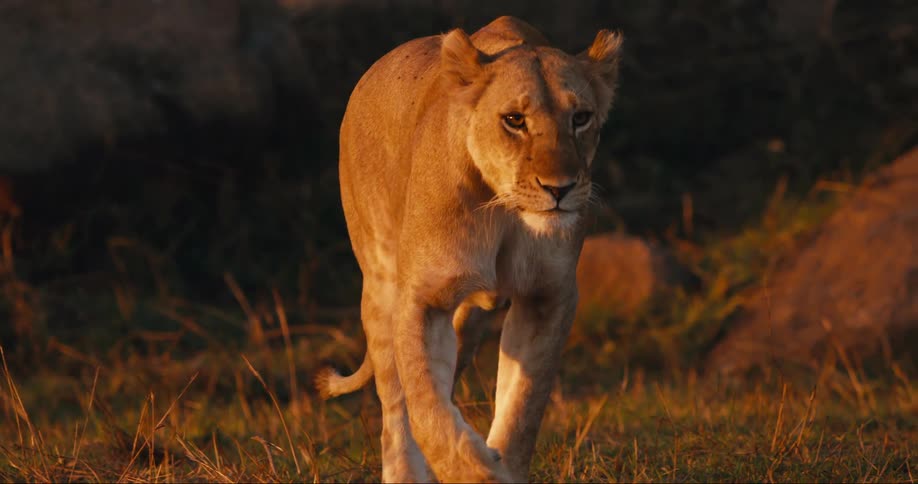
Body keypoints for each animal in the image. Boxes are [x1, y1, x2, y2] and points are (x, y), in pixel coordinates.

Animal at [315, 16, 623, 483]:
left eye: (581, 118)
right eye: (514, 120)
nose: (561, 188)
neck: (506, 212)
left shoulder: (548, 296)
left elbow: (522, 408)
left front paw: (501, 463)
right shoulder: (423, 298)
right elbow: (426, 408)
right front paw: (474, 470)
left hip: (470, 322)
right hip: (380, 287)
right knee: (396, 408)